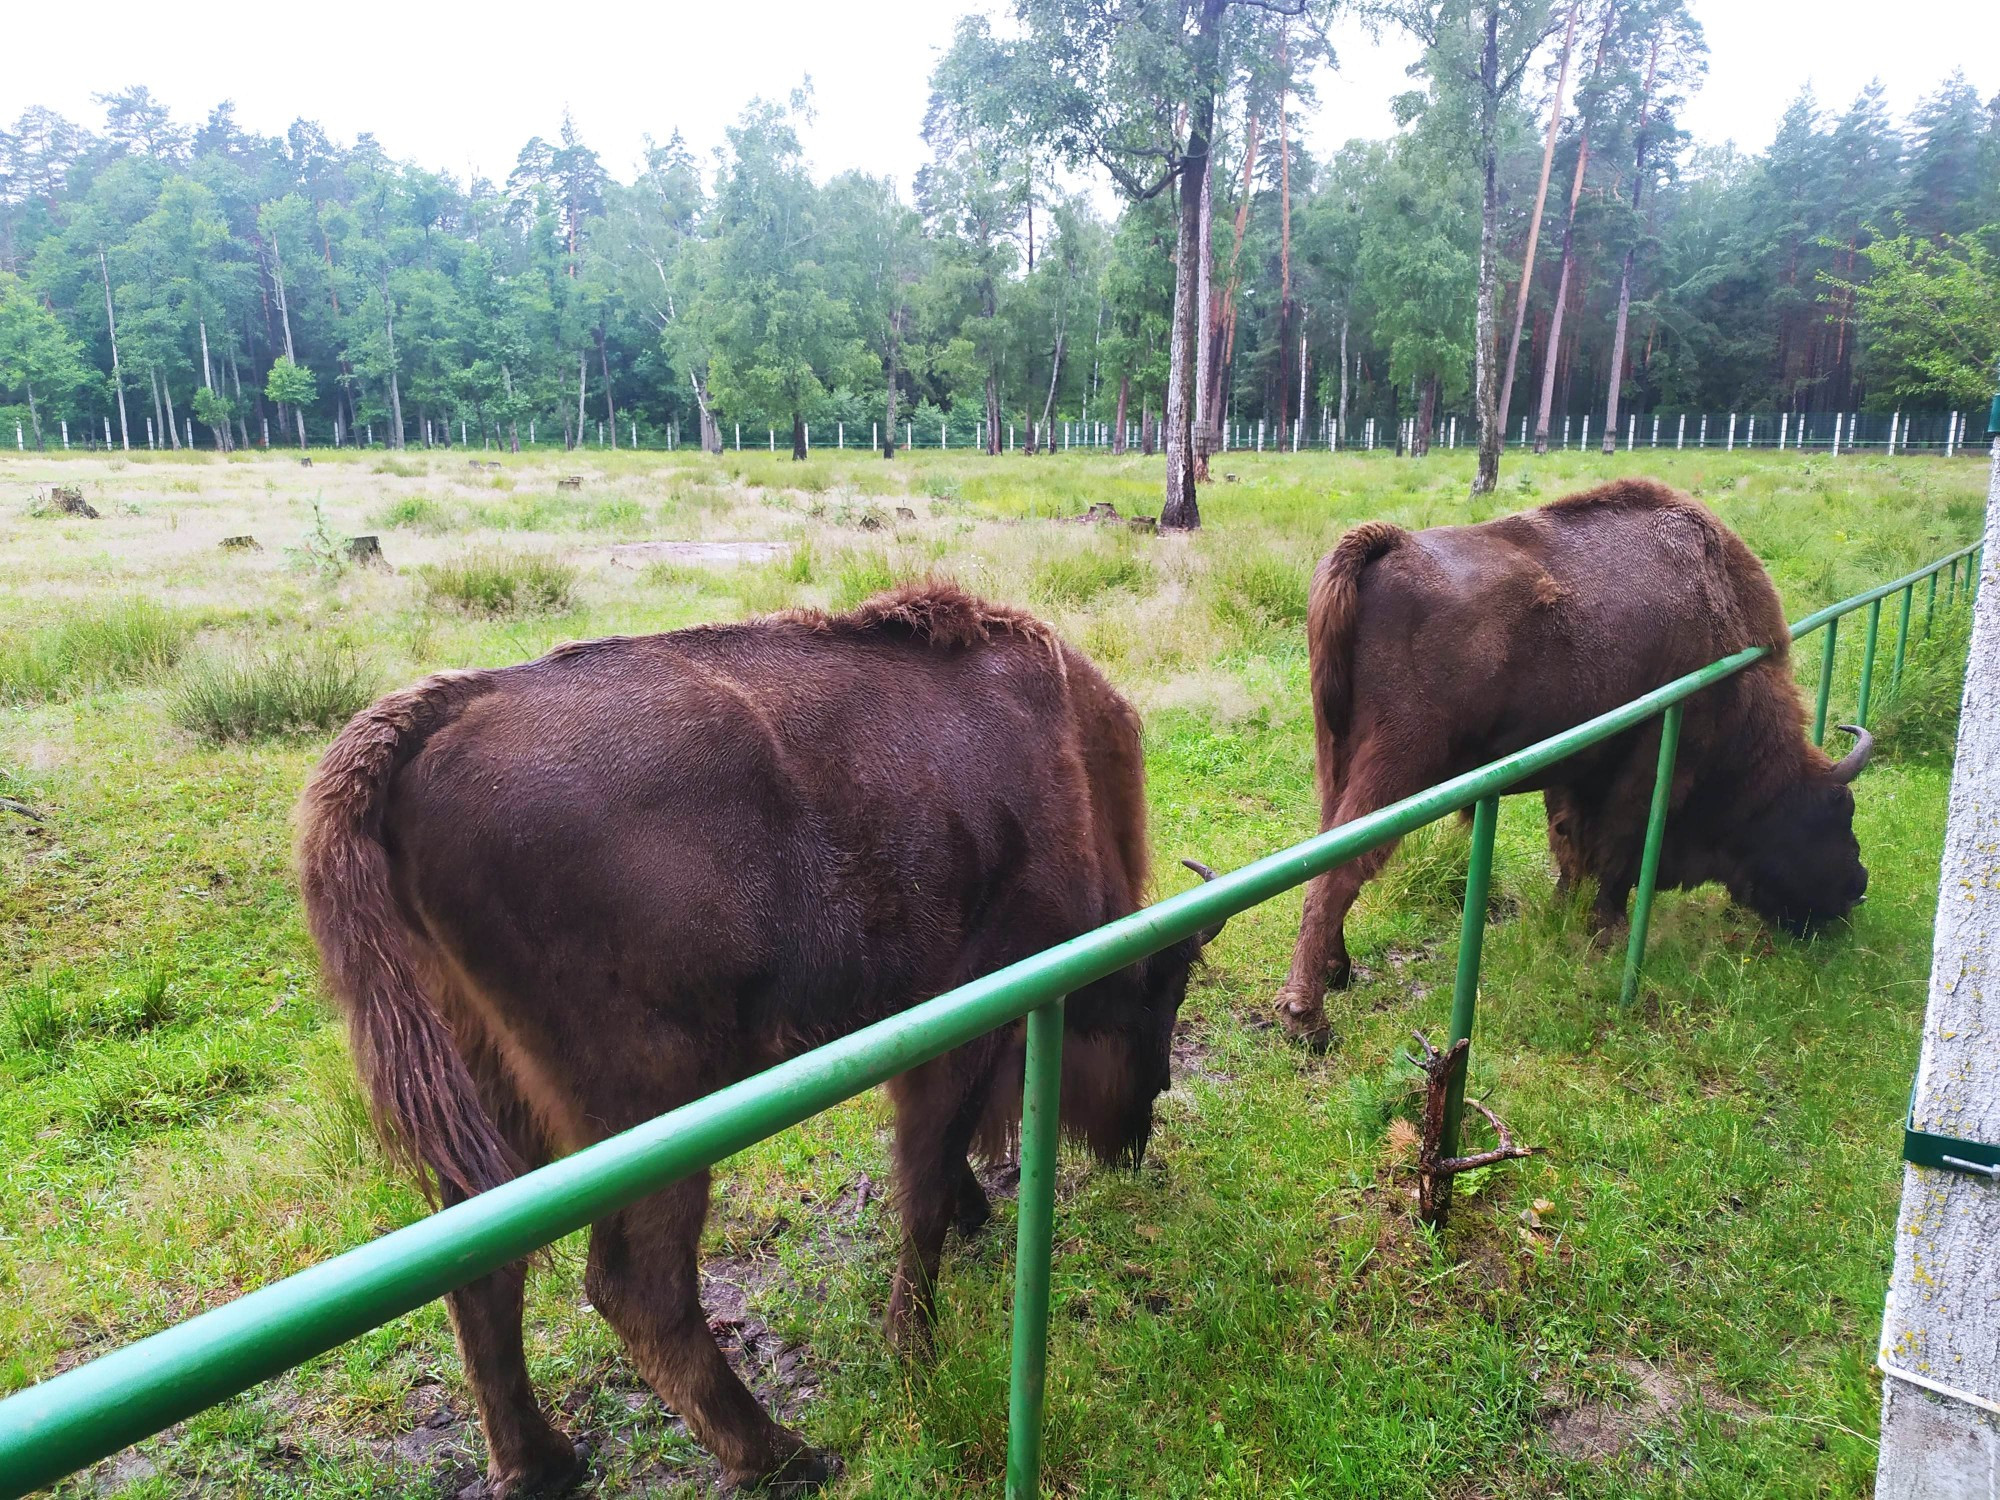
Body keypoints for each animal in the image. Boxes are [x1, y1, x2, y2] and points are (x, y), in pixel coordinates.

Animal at [296, 580, 1216, 1496]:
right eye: (1158, 998)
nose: (1142, 1123)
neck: (1067, 765)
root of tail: (431, 720)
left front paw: (968, 1218)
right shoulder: (964, 1020)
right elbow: (921, 1183)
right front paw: (915, 1345)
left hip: (490, 1091)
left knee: (484, 1268)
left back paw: (543, 1463)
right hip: (647, 1109)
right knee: (638, 1285)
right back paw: (784, 1455)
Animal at [1280, 482, 1872, 1048]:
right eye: (1834, 814)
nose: (1856, 888)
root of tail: (1389, 543)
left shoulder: (1574, 772)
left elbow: (1571, 844)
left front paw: (1565, 914)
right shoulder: (1650, 765)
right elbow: (1613, 850)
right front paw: (1607, 933)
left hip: (1337, 759)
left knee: (1327, 850)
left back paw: (1338, 970)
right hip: (1397, 763)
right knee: (1341, 870)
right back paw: (1308, 1021)